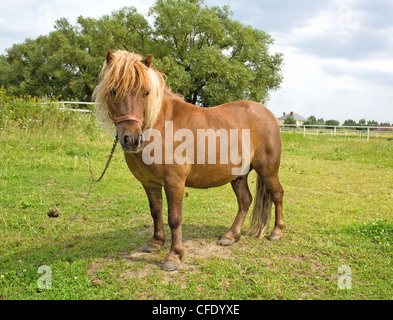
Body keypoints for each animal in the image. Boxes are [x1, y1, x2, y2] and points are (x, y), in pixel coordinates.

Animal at [95, 50, 284, 270]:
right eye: (113, 91)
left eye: (146, 92)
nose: (132, 139)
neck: (160, 125)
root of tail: (268, 114)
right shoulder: (149, 182)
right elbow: (156, 211)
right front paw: (156, 242)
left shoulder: (174, 182)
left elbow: (174, 218)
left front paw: (174, 256)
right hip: (239, 175)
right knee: (245, 200)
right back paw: (231, 236)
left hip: (268, 170)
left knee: (277, 194)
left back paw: (277, 232)